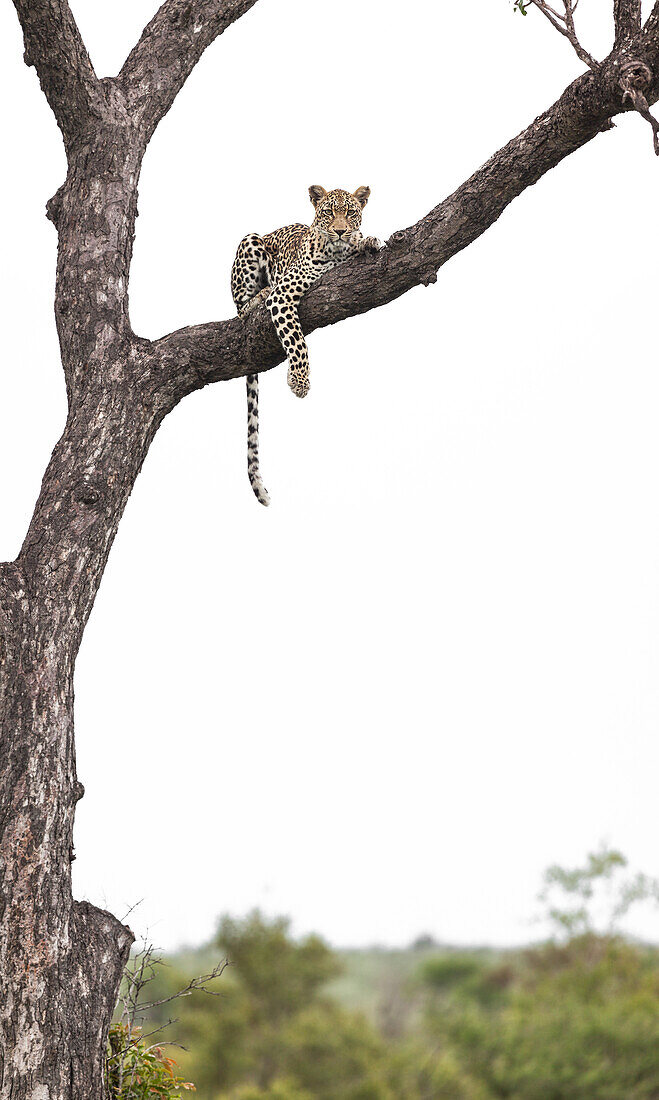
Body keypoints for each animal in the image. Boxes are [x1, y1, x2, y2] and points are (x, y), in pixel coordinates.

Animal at [231, 185, 380, 506]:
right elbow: (297, 342)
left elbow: (361, 241)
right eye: (328, 212)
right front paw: (299, 381)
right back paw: (258, 295)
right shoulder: (283, 296)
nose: (340, 231)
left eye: (351, 212)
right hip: (249, 241)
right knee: (241, 309)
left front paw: (368, 241)